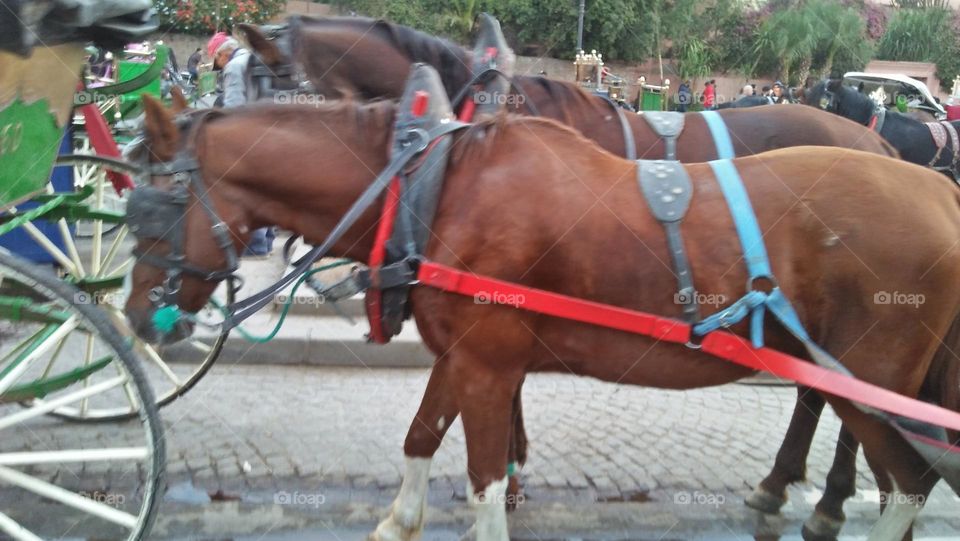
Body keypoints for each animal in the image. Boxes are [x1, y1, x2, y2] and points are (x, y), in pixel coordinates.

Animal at [127, 97, 960, 540]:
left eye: (155, 208)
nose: (137, 316)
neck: (438, 185)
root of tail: (939, 189)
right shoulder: (462, 357)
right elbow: (422, 435)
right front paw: (400, 518)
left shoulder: (489, 366)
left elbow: (484, 475)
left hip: (872, 382)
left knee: (912, 478)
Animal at [240, 16, 908, 536]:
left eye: (270, 88)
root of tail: (884, 148)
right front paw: (510, 467)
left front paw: (509, 473)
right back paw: (785, 482)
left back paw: (828, 497)